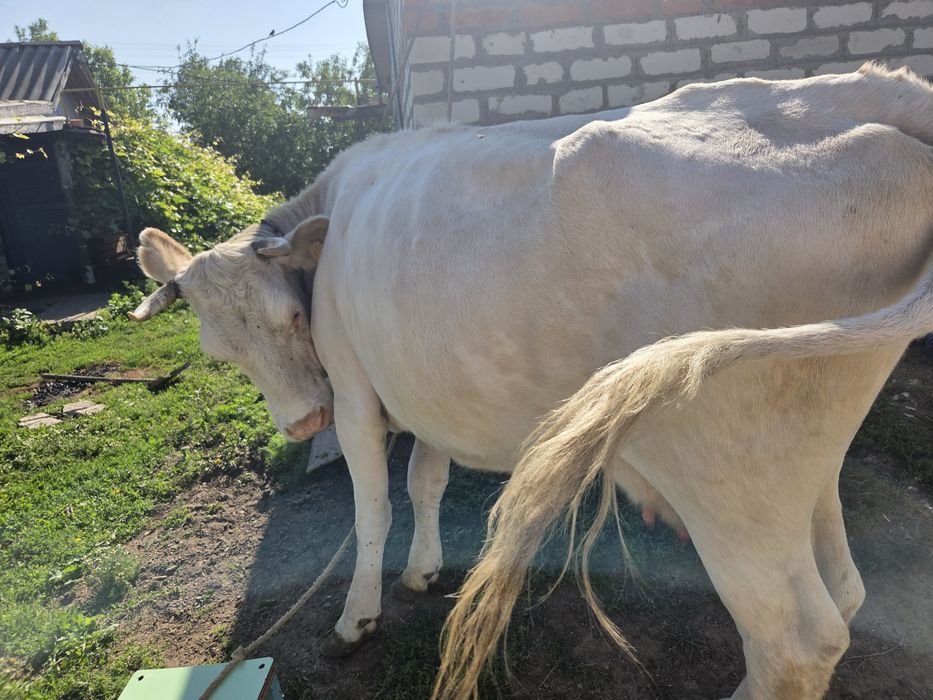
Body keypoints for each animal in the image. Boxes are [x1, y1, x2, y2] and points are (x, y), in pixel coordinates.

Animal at [130, 64, 933, 699]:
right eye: (216, 350)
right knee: (843, 591)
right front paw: (423, 571)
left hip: (729, 471)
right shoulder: (427, 390)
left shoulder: (357, 395)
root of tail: (859, 91)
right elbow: (426, 480)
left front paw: (356, 617)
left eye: (292, 316)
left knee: (795, 641)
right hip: (804, 452)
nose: (301, 422)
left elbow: (373, 509)